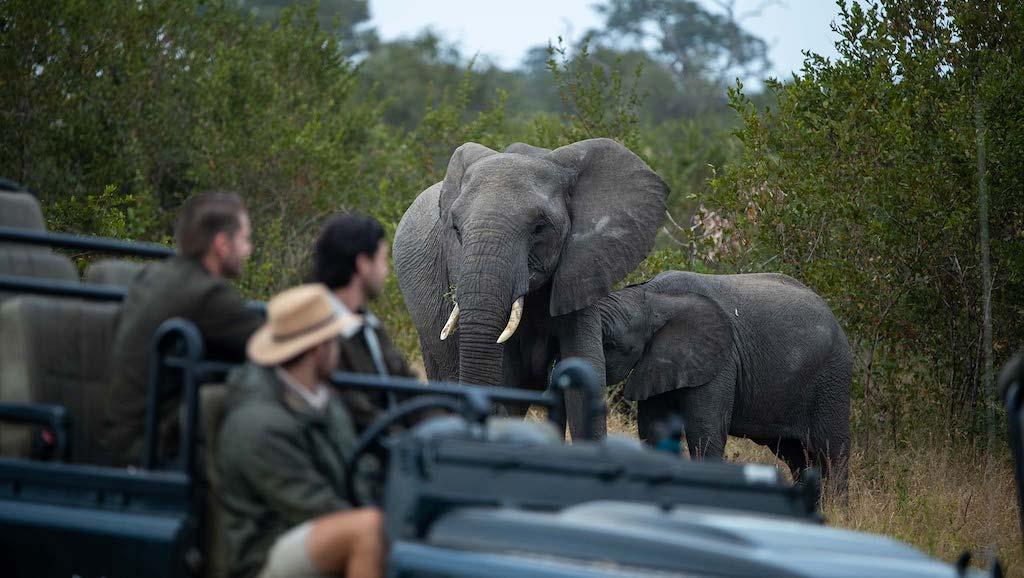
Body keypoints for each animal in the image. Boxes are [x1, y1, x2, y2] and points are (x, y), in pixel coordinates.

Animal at [599, 270, 851, 491]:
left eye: (609, 344)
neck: (651, 296)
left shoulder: (721, 362)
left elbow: (704, 433)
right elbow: (654, 430)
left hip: (832, 380)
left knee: (832, 452)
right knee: (795, 455)